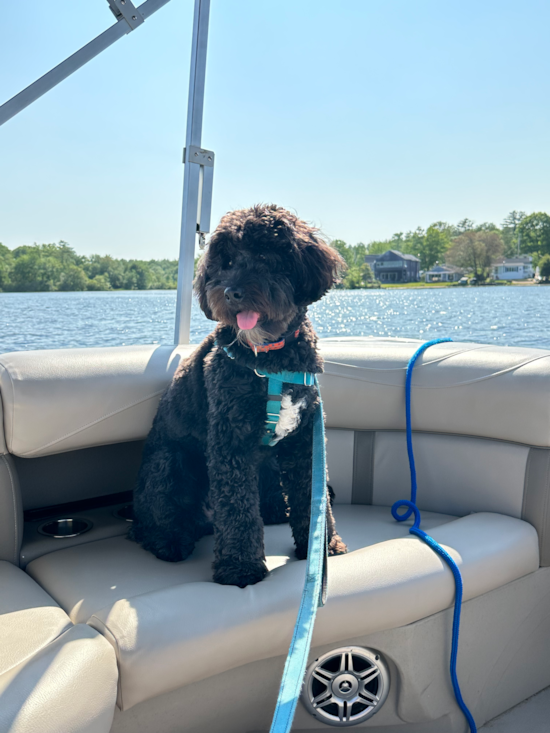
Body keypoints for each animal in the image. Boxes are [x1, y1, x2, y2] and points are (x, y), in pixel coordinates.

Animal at [129, 204, 348, 584]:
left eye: (265, 255)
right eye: (226, 262)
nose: (231, 292)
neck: (269, 359)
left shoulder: (304, 438)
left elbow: (311, 493)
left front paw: (322, 546)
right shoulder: (229, 441)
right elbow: (237, 508)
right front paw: (240, 568)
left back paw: (275, 510)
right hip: (169, 463)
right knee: (155, 519)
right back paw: (170, 541)